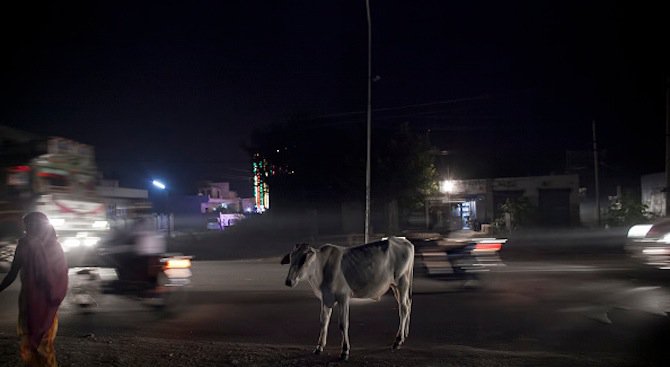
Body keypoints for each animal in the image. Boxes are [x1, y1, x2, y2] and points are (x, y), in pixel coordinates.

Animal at [280, 237, 414, 360]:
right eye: (291, 258)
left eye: (303, 259)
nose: (288, 281)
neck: (321, 269)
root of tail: (404, 241)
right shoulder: (326, 298)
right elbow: (324, 321)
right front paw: (319, 347)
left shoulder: (343, 297)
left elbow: (343, 324)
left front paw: (345, 351)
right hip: (395, 286)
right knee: (408, 304)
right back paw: (404, 335)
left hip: (402, 282)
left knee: (404, 309)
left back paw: (397, 341)